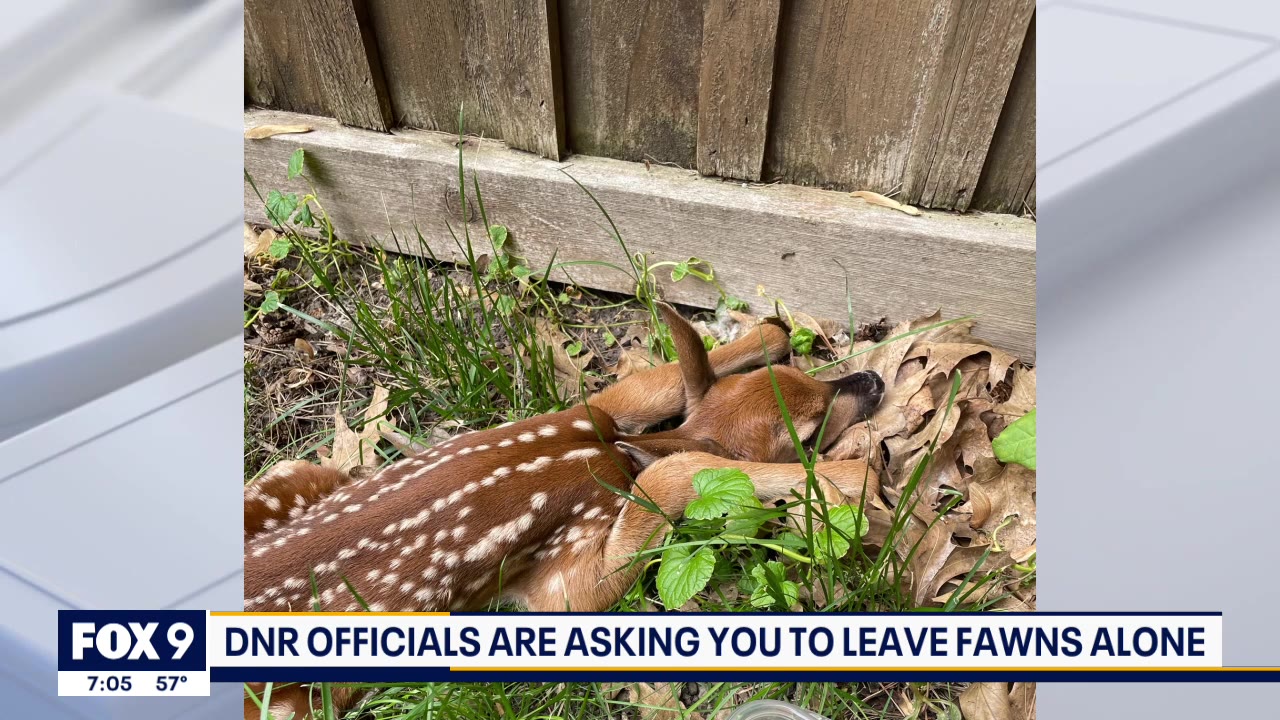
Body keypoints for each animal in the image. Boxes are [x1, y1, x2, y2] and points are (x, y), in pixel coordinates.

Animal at [243, 303, 884, 720]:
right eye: (806, 434)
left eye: (799, 376)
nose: (874, 379)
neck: (606, 456)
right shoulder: (559, 583)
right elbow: (674, 472)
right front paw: (856, 478)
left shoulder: (588, 412)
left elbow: (657, 381)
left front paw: (773, 329)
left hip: (292, 478)